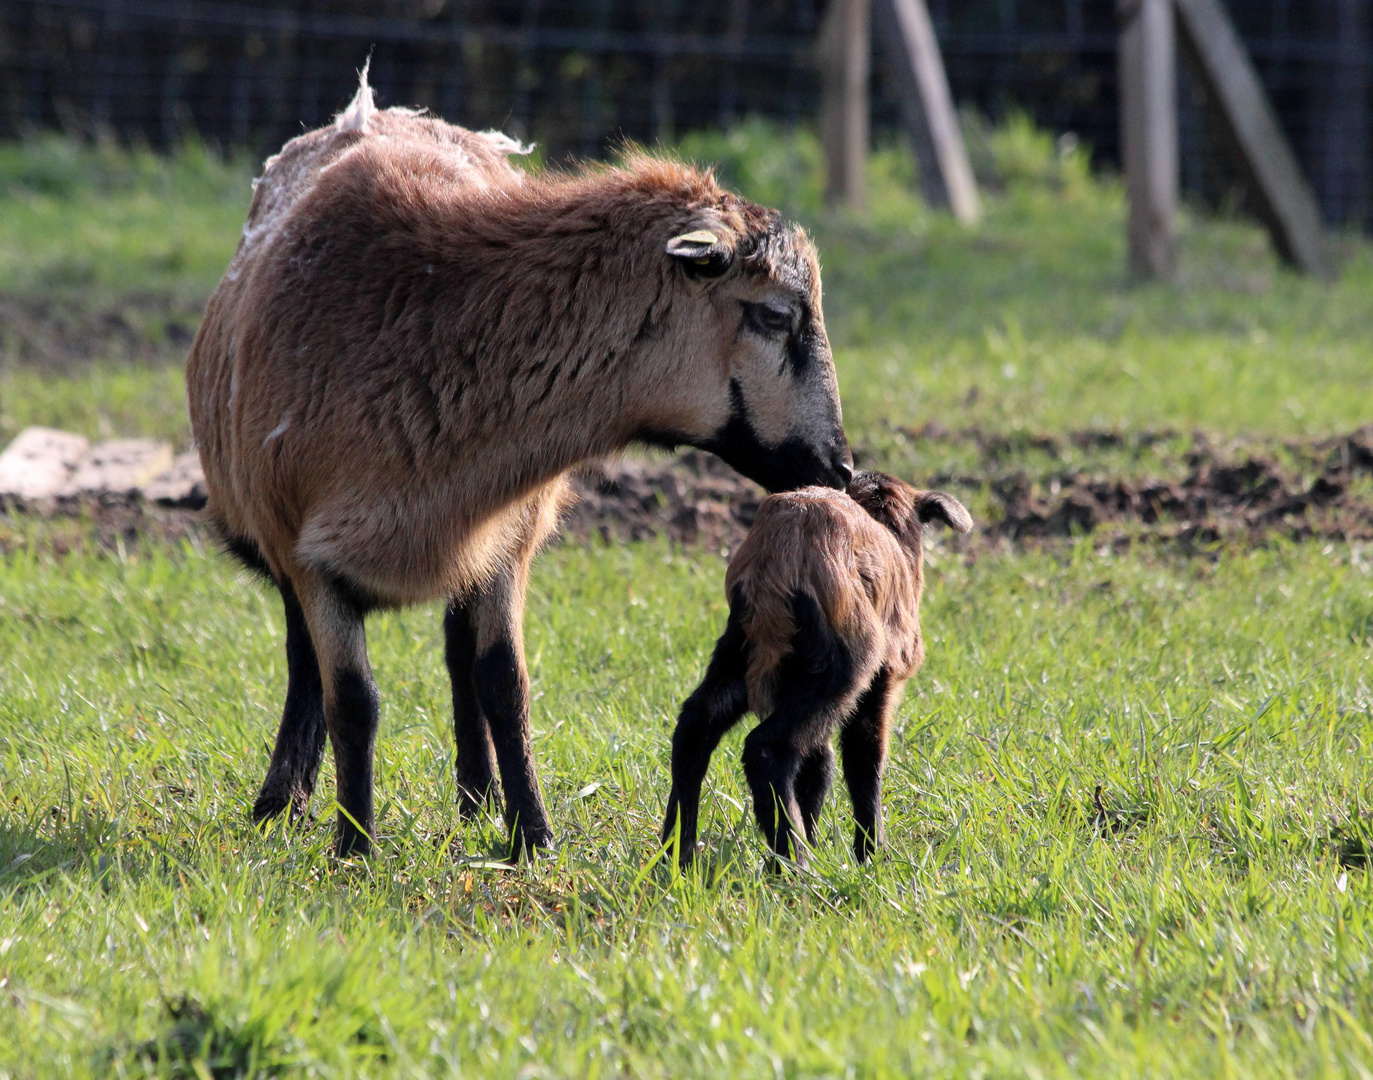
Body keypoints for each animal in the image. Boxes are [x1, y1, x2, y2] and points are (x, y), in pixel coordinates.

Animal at [185, 69, 845, 861]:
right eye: (776, 315)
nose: (838, 468)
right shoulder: (306, 555)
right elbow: (352, 698)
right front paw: (354, 847)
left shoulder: (505, 536)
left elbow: (504, 681)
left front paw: (531, 835)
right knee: (302, 661)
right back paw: (283, 798)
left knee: (454, 654)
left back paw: (476, 797)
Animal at [659, 472, 972, 872]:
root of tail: (773, 562)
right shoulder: (881, 679)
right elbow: (864, 758)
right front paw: (870, 855)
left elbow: (818, 766)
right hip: (840, 666)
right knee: (768, 748)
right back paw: (793, 864)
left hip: (740, 651)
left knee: (697, 725)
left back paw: (677, 855)